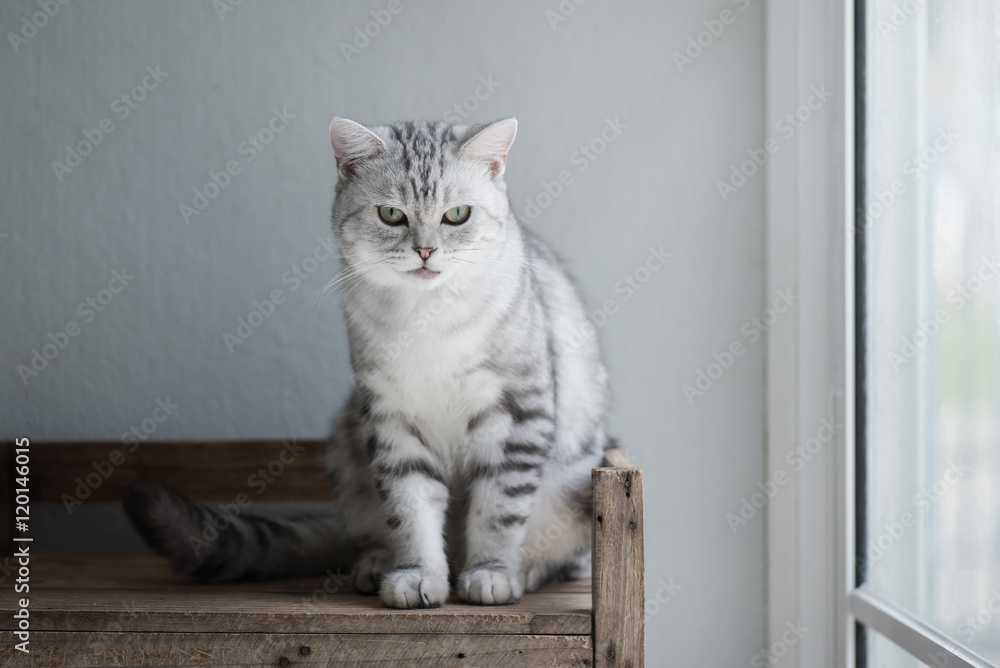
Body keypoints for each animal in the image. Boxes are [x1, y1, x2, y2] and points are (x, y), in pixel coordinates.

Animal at [125, 116, 608, 612]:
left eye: (457, 215)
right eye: (391, 215)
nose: (425, 251)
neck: (427, 318)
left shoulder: (515, 413)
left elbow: (499, 509)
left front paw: (491, 572)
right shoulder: (391, 416)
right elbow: (409, 509)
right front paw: (415, 575)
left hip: (573, 487)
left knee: (563, 557)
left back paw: (521, 571)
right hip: (348, 448)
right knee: (374, 532)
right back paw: (377, 564)